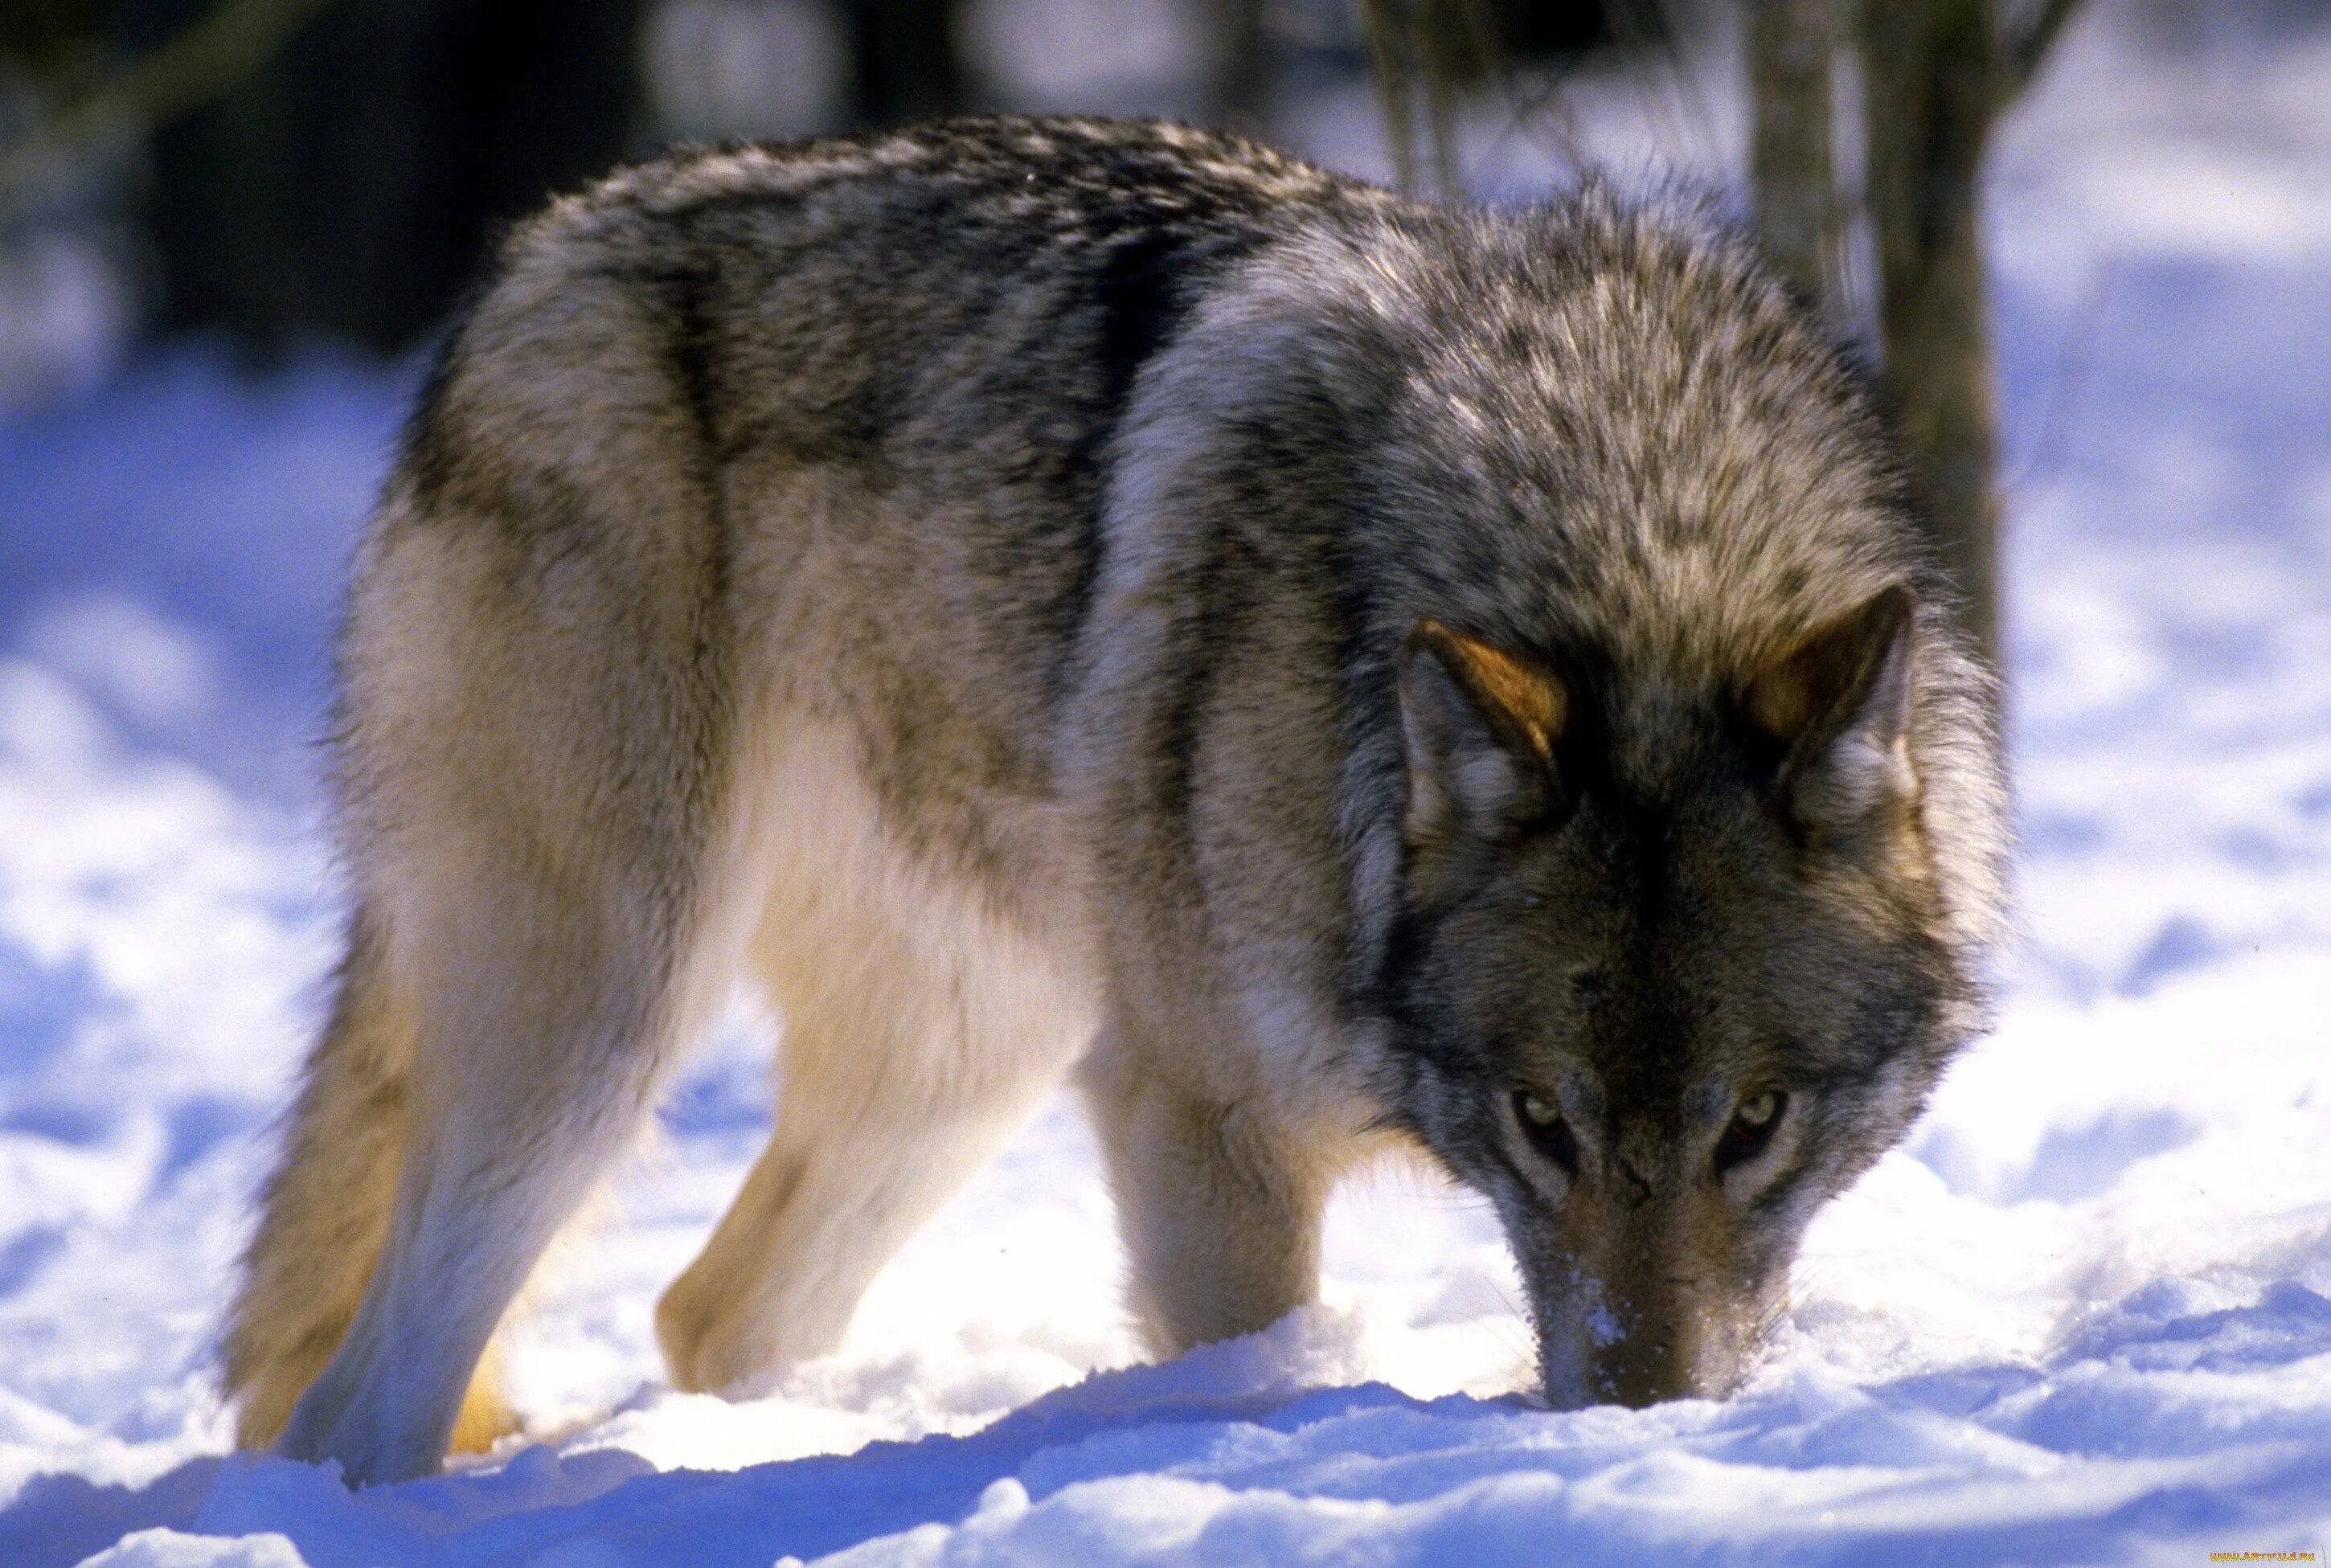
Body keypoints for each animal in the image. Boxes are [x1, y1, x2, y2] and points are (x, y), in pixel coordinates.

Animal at [214, 116, 2005, 1481]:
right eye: (1540, 1121)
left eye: (1753, 1124)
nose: (1640, 1425)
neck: (1632, 530)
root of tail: (529, 261)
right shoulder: (1196, 1126)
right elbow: (1262, 1362)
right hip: (600, 1036)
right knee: (360, 1404)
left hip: (961, 1059)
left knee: (705, 1311)